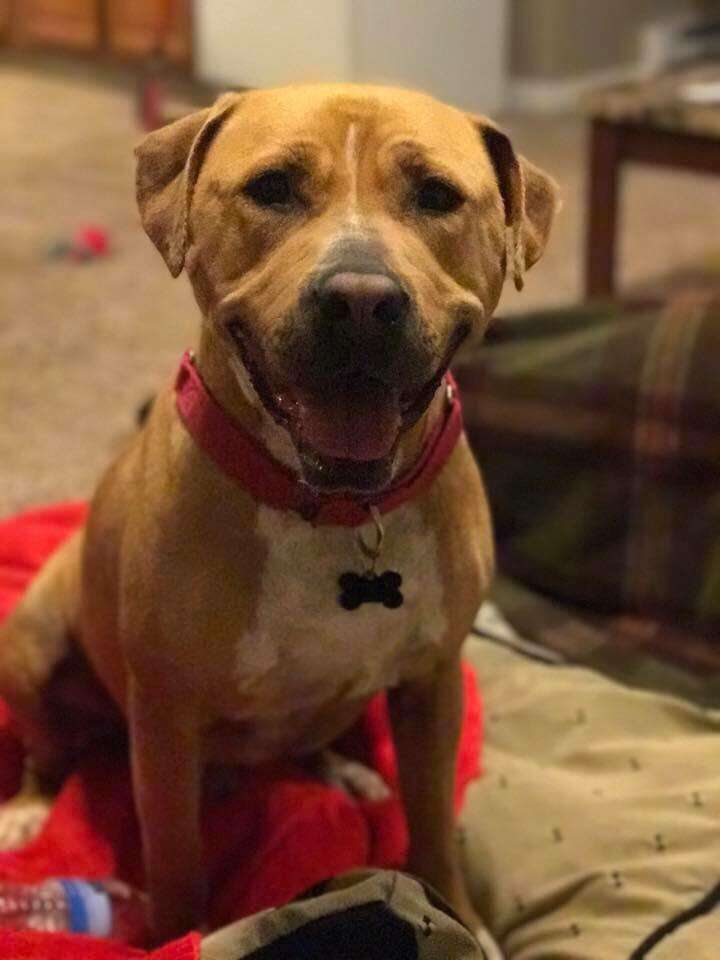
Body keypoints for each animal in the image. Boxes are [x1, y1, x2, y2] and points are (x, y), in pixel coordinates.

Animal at [0, 86, 556, 940]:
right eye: (272, 188)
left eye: (437, 196)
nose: (361, 301)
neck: (335, 511)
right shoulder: (164, 722)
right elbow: (175, 858)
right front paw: (177, 937)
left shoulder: (432, 685)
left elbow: (433, 821)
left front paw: (458, 914)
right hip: (31, 643)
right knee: (47, 745)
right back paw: (29, 807)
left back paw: (344, 771)